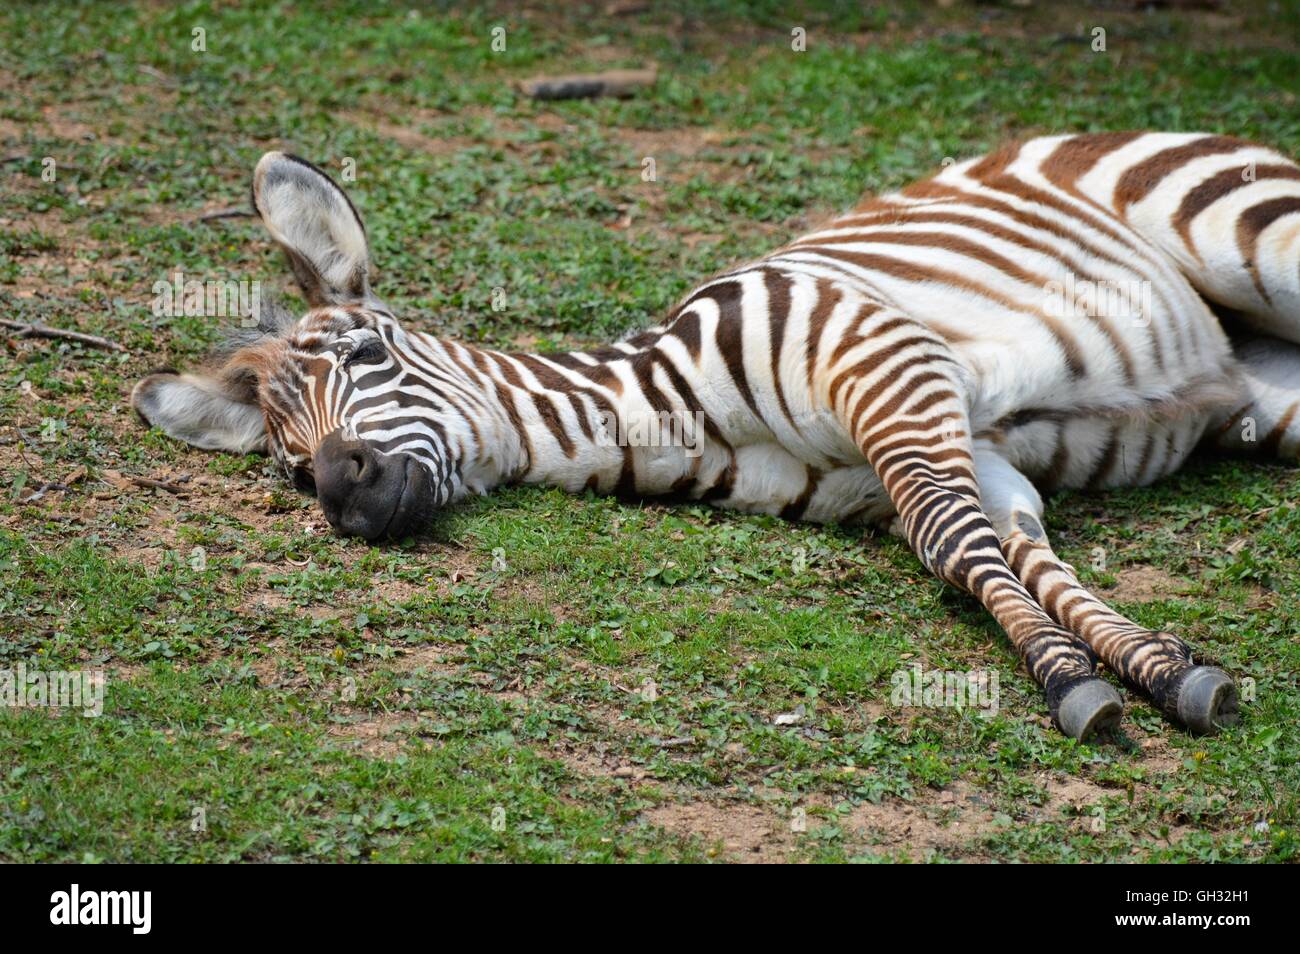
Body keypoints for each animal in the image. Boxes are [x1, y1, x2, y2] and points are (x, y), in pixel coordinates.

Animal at [132, 133, 1300, 741]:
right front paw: (1141, 669)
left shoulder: (892, 367)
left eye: (369, 352)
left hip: (1251, 238)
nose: (341, 490)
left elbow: (956, 541)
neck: (665, 410)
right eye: (291, 472)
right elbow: (989, 554)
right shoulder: (962, 456)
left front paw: (1090, 679)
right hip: (1271, 394)